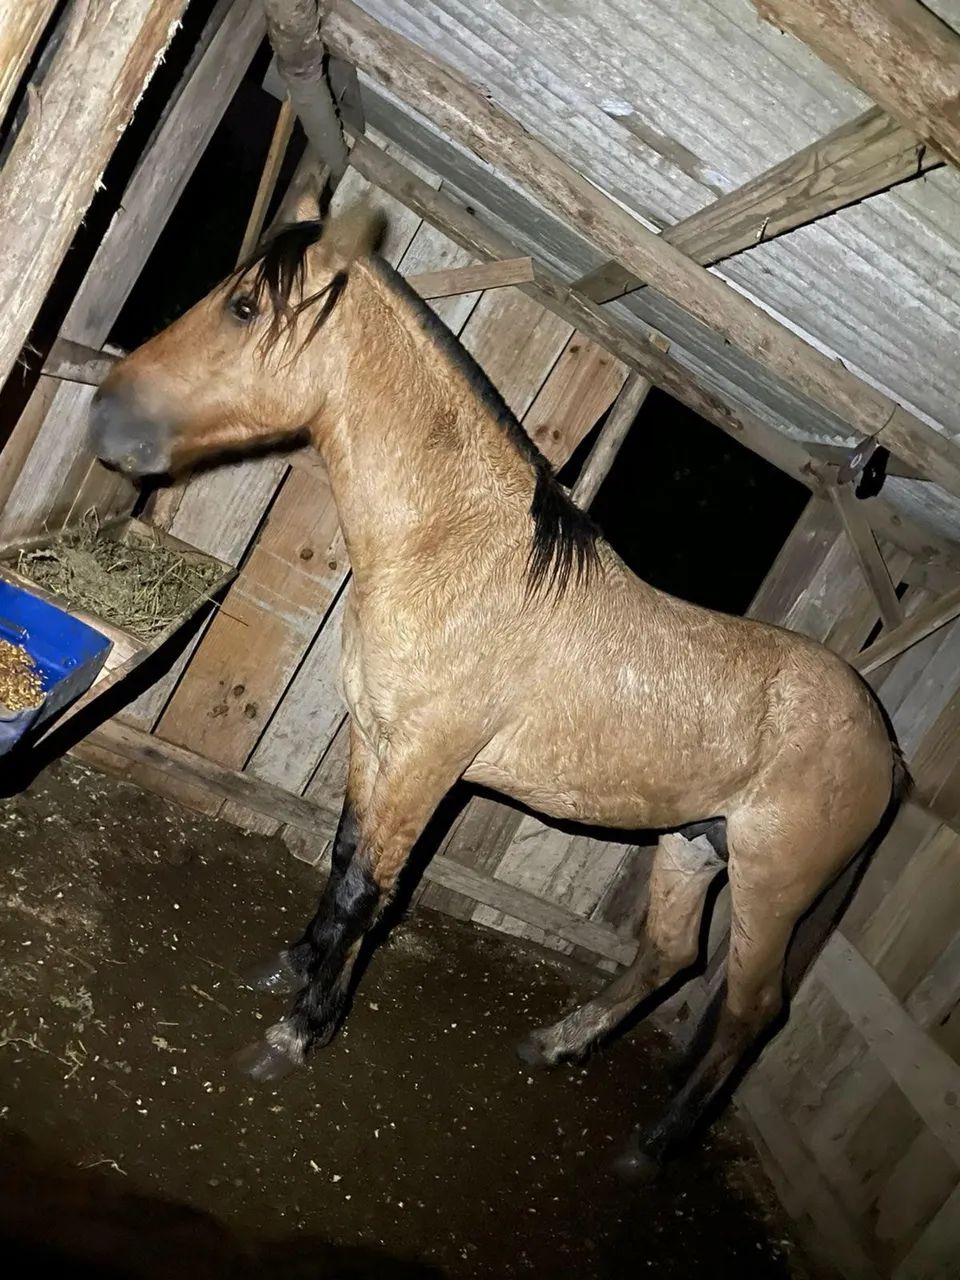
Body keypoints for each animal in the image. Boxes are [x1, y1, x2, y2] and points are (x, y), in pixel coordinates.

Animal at [89, 195, 906, 1180]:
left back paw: (650, 1150)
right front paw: (292, 971)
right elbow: (347, 864)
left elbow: (370, 889)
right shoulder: (377, 743)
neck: (457, 552)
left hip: (772, 888)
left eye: (244, 307)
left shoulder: (428, 765)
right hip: (691, 847)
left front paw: (296, 1033)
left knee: (751, 1011)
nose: (104, 416)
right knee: (669, 955)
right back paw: (555, 1046)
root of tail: (883, 747)